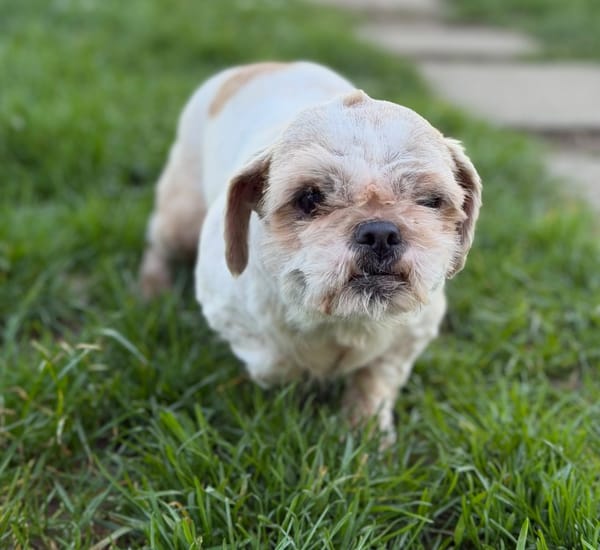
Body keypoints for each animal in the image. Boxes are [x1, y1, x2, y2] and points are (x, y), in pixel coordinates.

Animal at [140, 61, 481, 445]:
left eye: (429, 201)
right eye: (308, 198)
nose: (380, 232)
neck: (344, 317)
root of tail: (256, 66)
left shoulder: (412, 334)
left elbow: (375, 379)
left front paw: (368, 432)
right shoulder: (227, 313)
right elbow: (277, 363)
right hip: (180, 221)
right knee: (157, 245)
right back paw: (152, 289)